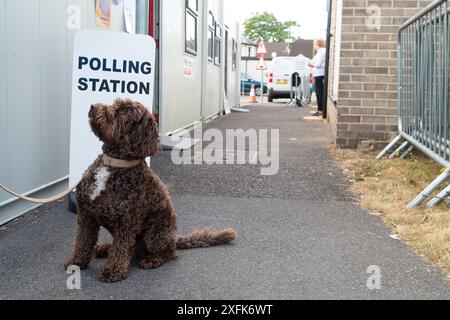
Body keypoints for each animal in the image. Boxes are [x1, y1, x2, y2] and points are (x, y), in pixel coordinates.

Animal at [65, 98, 239, 282]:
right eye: (115, 103)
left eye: (126, 112)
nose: (93, 107)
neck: (113, 164)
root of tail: (175, 237)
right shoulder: (86, 216)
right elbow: (82, 241)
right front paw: (76, 262)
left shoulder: (126, 223)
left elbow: (121, 247)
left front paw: (113, 270)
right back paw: (105, 248)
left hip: (155, 234)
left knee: (167, 253)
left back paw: (151, 260)